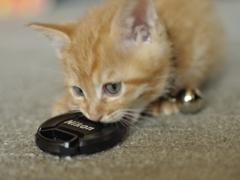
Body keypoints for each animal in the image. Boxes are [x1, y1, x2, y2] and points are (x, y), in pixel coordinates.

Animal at [29, 0, 224, 122]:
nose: (94, 117)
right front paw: (64, 102)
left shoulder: (204, 44)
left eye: (113, 88)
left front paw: (165, 101)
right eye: (78, 91)